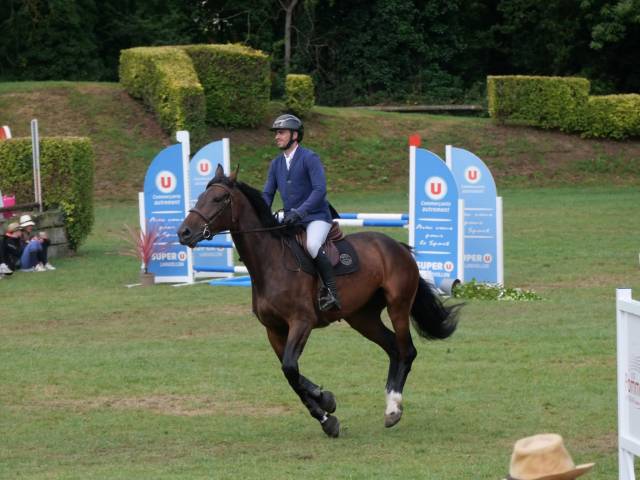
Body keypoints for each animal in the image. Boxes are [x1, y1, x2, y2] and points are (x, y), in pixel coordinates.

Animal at [177, 165, 460, 437]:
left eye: (218, 199)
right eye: (200, 197)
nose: (184, 232)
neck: (270, 262)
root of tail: (398, 246)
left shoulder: (301, 322)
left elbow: (290, 369)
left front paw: (325, 401)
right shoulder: (274, 329)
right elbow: (291, 374)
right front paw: (326, 414)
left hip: (398, 306)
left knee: (406, 350)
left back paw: (393, 409)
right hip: (362, 317)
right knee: (392, 347)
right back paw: (389, 402)